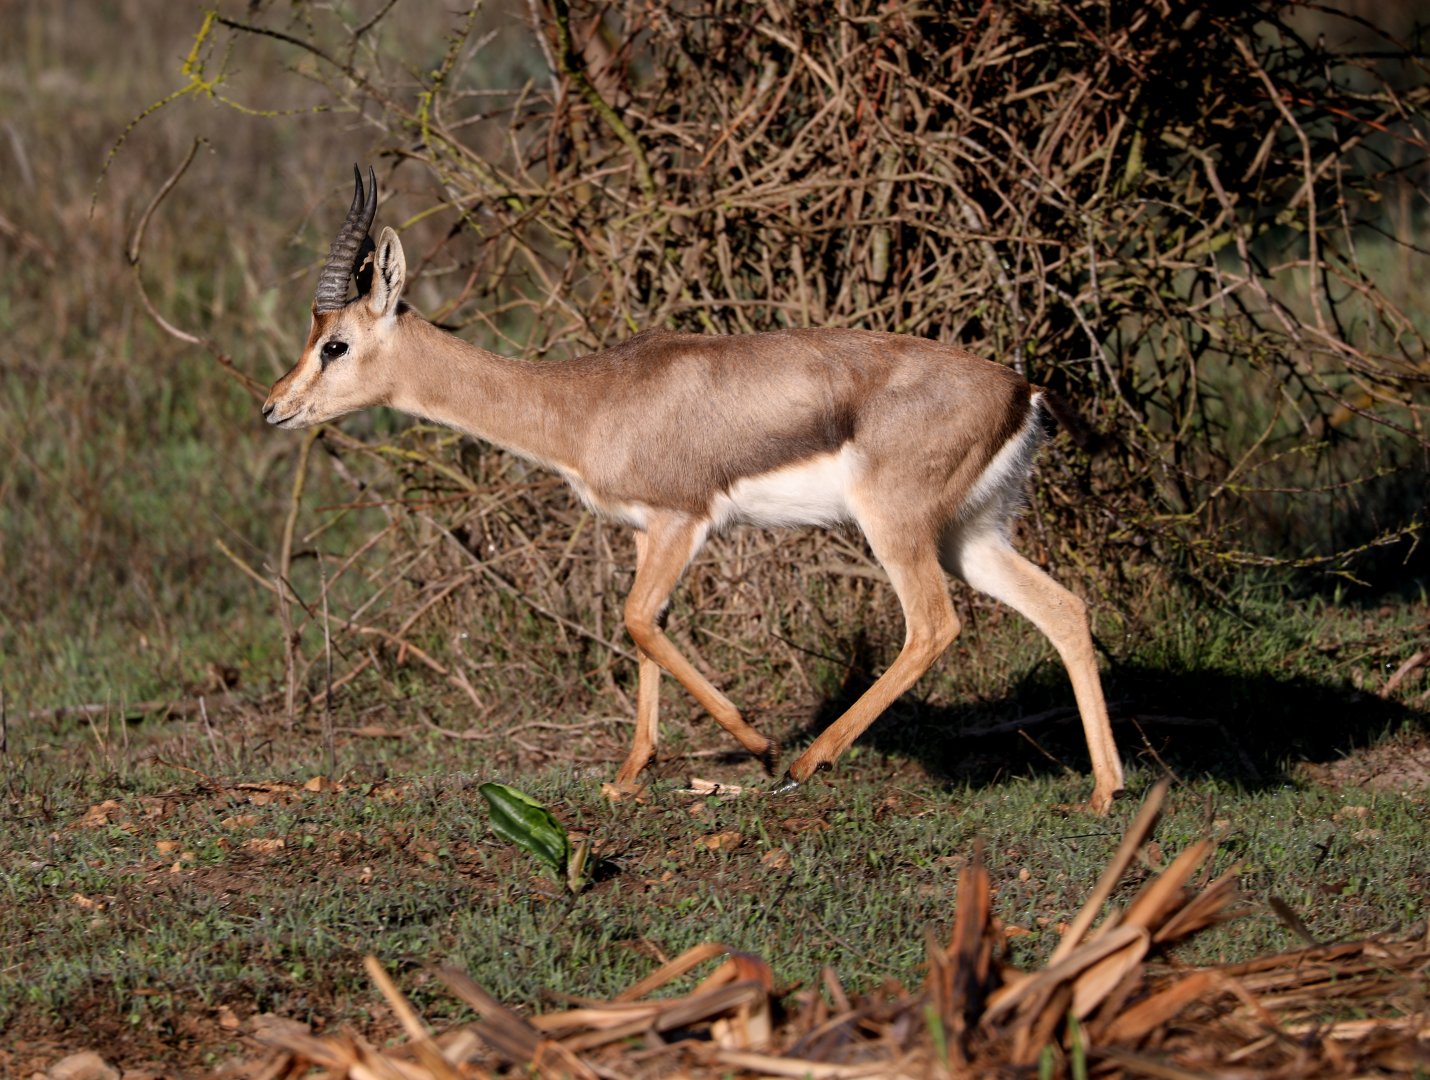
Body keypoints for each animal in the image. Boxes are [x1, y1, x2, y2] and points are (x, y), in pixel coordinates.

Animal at [264, 167, 1125, 812]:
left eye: (336, 344)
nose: (274, 407)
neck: (586, 402)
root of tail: (1024, 389)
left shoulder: (683, 521)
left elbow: (637, 619)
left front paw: (757, 746)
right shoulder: (650, 532)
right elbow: (648, 628)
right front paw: (625, 779)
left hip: (899, 529)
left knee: (933, 627)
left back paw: (807, 762)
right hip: (969, 536)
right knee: (1063, 608)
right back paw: (1106, 793)